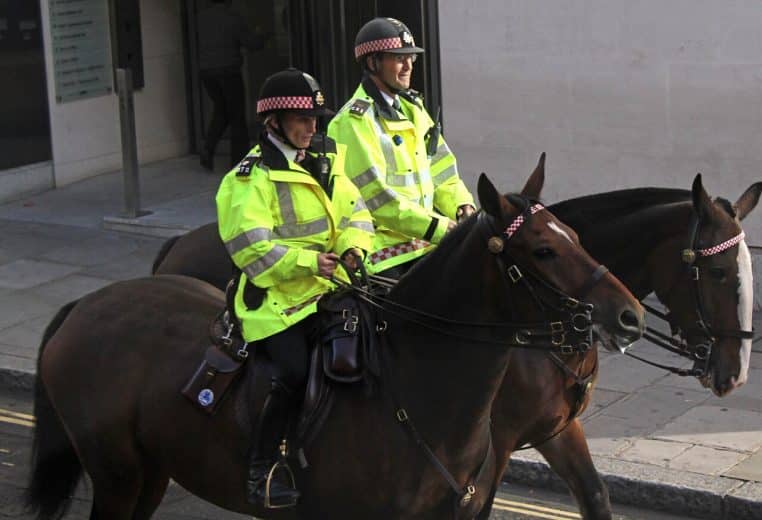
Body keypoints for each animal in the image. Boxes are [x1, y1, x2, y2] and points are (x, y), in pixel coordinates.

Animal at [26, 163, 644, 520]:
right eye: (543, 250)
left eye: (575, 236)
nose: (630, 316)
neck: (418, 389)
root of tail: (83, 306)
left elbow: (594, 493)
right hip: (117, 473)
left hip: (150, 468)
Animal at [148, 170, 761, 520]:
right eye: (719, 272)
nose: (734, 372)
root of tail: (176, 245)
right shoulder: (495, 446)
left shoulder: (556, 430)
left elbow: (595, 497)